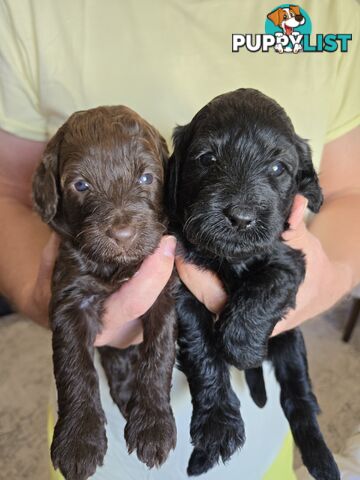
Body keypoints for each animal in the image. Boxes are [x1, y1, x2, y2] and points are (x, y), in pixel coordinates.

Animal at [33, 107, 176, 480]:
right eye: (81, 185)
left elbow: (159, 354)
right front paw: (79, 439)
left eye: (146, 178)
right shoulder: (71, 297)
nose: (122, 233)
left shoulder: (164, 291)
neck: (114, 267)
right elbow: (75, 366)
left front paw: (153, 425)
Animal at [167, 88, 338, 478]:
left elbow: (264, 289)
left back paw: (321, 459)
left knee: (298, 399)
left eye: (278, 168)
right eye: (207, 159)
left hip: (291, 346)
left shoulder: (289, 261)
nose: (241, 217)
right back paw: (199, 460)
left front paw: (242, 347)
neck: (231, 257)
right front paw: (217, 426)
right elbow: (202, 349)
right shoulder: (182, 283)